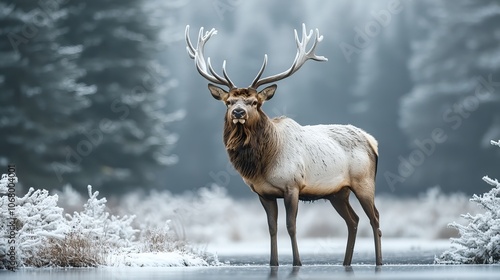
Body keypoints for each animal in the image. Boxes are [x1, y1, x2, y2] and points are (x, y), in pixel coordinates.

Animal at [186, 23, 380, 266]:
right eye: (228, 102)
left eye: (254, 102)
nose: (238, 112)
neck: (263, 163)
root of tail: (372, 141)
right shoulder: (264, 193)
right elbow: (272, 228)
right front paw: (273, 262)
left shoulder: (292, 185)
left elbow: (291, 226)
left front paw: (297, 262)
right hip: (337, 192)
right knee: (353, 221)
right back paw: (346, 262)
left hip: (364, 182)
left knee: (375, 218)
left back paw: (379, 261)